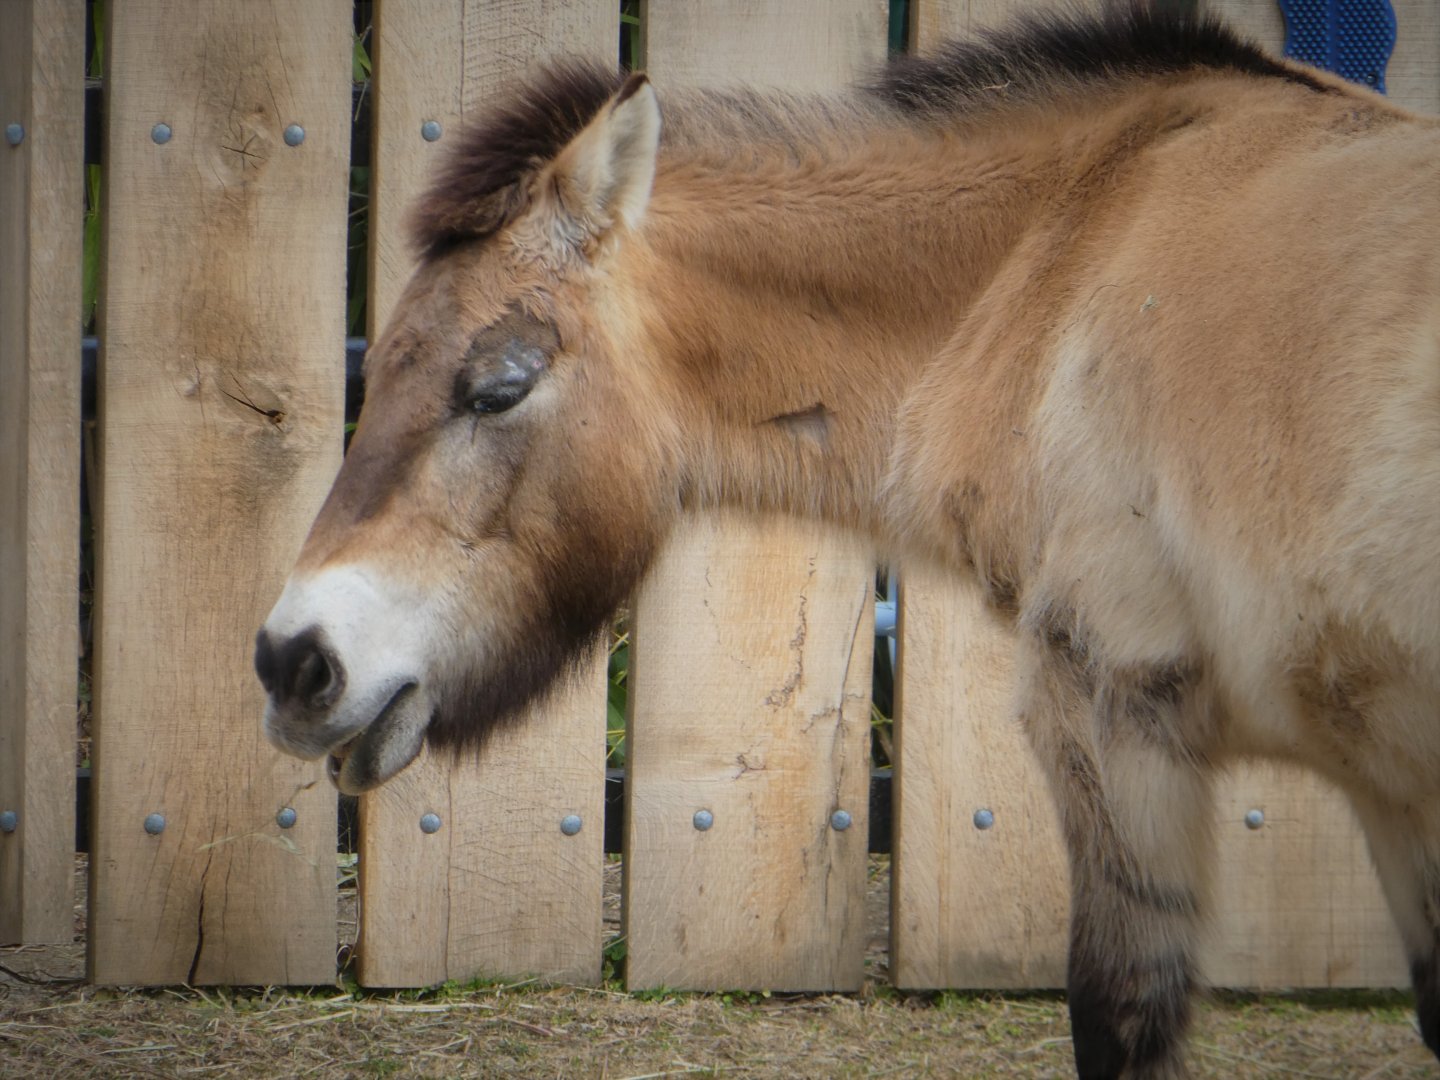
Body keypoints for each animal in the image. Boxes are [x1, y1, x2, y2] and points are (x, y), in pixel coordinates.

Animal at [254, 6, 1440, 1076]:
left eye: (496, 387)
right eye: (380, 365)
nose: (291, 661)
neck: (1074, 247)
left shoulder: (1115, 710)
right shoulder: (1386, 788)